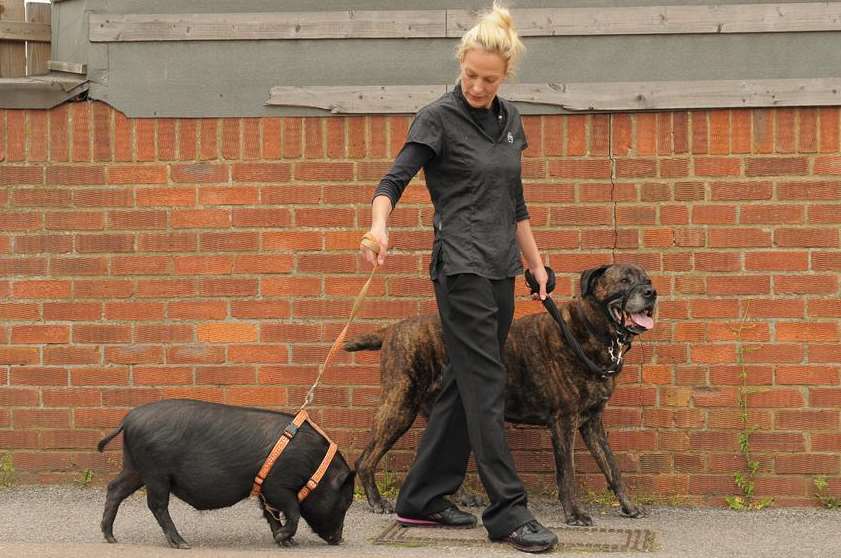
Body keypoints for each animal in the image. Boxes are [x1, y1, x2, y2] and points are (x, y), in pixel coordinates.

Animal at [97, 402, 354, 552]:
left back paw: (111, 538)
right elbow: (293, 510)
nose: (339, 539)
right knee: (157, 505)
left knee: (115, 488)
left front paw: (286, 542)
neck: (314, 468)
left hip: (135, 467)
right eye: (344, 503)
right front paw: (286, 538)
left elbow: (270, 514)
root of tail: (128, 420)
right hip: (155, 472)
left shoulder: (264, 489)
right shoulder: (277, 486)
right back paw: (182, 544)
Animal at [342, 264, 656, 528]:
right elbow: (567, 473)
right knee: (366, 459)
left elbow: (612, 467)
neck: (591, 330)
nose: (651, 293)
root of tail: (393, 329)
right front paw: (575, 514)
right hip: (399, 405)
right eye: (624, 280)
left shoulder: (592, 422)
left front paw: (629, 507)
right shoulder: (564, 422)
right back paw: (376, 500)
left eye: (647, 279)